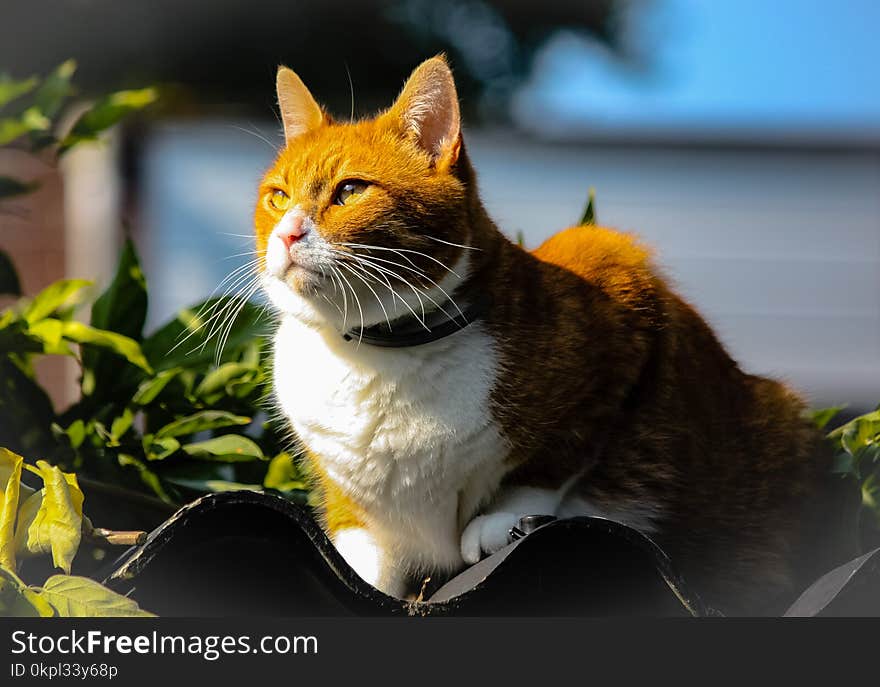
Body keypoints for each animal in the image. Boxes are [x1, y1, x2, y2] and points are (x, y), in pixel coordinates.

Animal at [256, 56, 860, 616]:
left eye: (349, 190)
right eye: (278, 197)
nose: (287, 233)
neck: (377, 355)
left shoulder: (615, 283)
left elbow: (554, 460)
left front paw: (502, 519)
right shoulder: (350, 505)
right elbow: (357, 550)